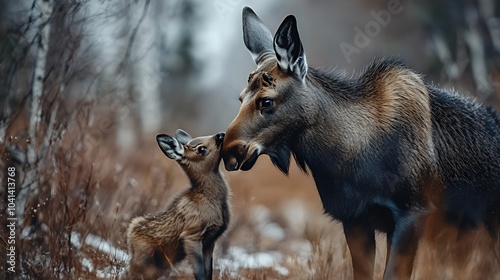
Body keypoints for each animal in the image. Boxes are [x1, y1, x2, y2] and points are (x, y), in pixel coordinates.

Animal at [122, 131, 229, 280]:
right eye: (201, 149)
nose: (221, 134)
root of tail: (130, 232)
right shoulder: (191, 235)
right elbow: (200, 272)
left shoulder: (210, 242)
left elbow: (209, 272)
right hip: (143, 258)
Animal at [223, 7, 500, 280]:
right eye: (240, 98)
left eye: (266, 101)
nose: (230, 152)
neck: (347, 160)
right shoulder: (354, 218)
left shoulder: (412, 211)